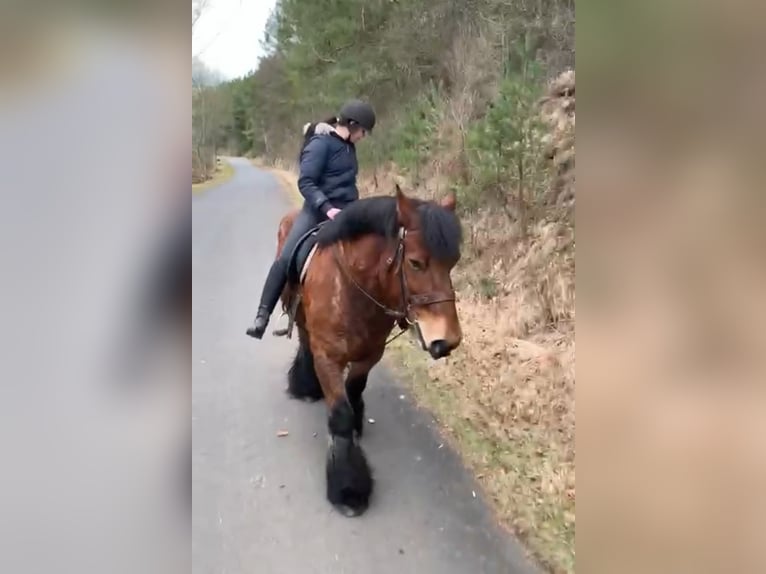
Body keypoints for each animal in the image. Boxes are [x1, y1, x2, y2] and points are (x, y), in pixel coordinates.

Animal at [274, 184, 462, 516]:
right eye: (415, 263)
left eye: (453, 262)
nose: (447, 341)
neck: (352, 287)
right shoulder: (328, 358)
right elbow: (340, 415)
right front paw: (348, 489)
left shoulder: (370, 354)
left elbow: (354, 391)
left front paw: (357, 425)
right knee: (305, 342)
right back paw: (305, 386)